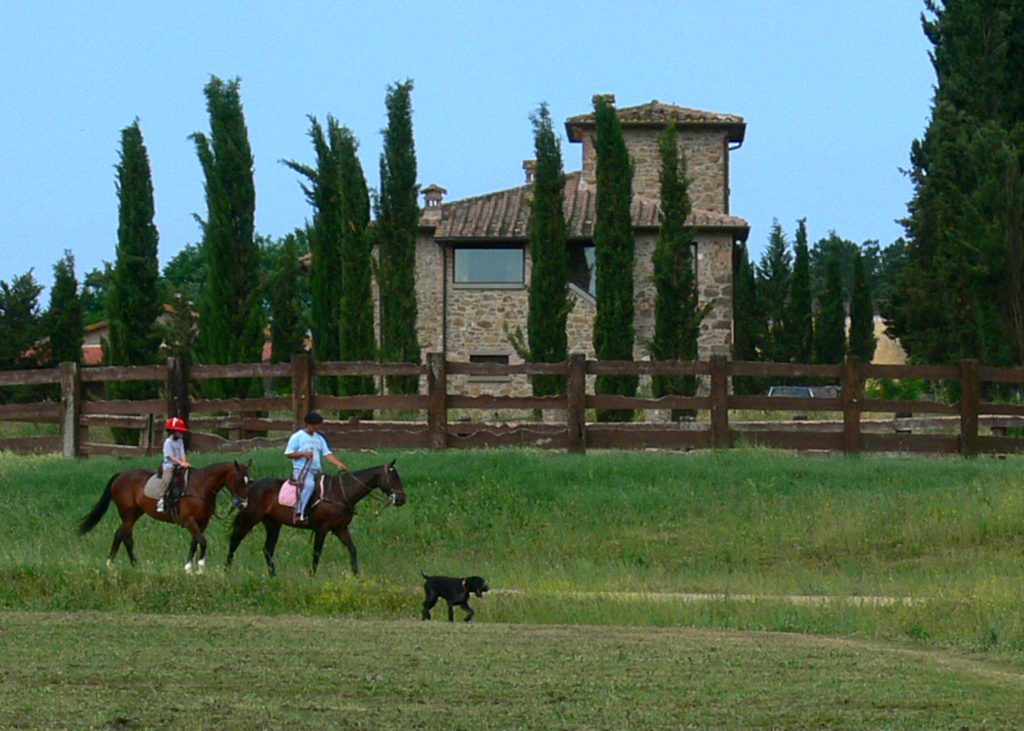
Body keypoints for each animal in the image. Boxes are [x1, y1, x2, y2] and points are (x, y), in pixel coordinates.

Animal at [76, 458, 250, 573]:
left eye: (249, 481)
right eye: (238, 480)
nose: (243, 504)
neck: (201, 486)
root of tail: (120, 475)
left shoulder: (202, 523)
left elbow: (195, 542)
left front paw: (188, 568)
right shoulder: (189, 521)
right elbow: (203, 541)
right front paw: (200, 567)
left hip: (135, 513)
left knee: (124, 535)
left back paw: (132, 565)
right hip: (129, 513)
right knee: (122, 534)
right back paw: (113, 563)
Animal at [226, 460, 405, 573]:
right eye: (393, 478)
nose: (401, 499)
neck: (341, 493)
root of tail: (250, 486)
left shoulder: (340, 529)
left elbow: (352, 550)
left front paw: (356, 577)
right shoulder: (322, 529)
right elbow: (317, 554)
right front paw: (312, 577)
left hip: (273, 524)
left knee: (268, 550)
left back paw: (273, 576)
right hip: (249, 519)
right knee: (234, 541)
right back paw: (226, 570)